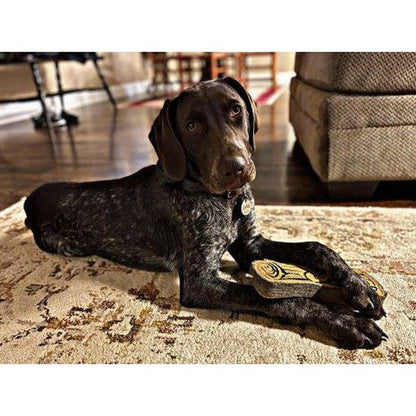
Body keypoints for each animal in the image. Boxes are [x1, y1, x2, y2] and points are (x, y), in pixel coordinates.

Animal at [24, 77, 387, 349]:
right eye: (192, 125)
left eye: (236, 110)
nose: (236, 168)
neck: (225, 201)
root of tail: (29, 199)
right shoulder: (200, 281)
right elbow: (273, 297)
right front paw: (345, 321)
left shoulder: (250, 244)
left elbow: (317, 247)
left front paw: (358, 287)